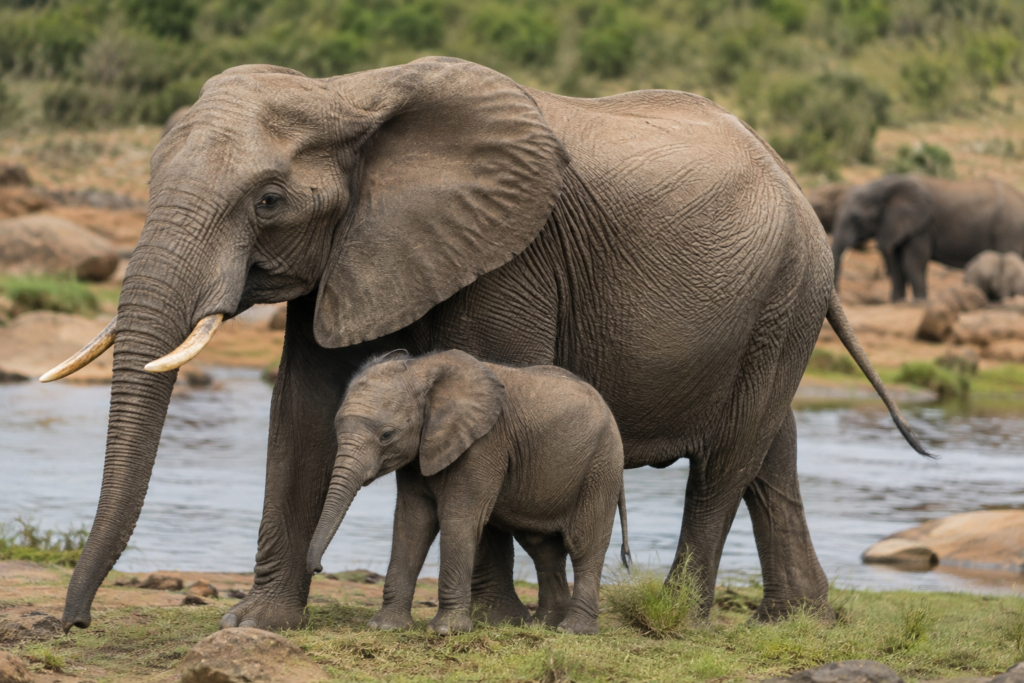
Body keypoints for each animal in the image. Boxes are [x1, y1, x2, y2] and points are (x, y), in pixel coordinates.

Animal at [306, 349, 631, 636]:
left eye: (387, 435)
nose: (318, 567)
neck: (423, 368)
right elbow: (412, 522)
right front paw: (386, 627)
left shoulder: (483, 444)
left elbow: (459, 519)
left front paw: (446, 631)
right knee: (542, 546)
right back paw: (543, 626)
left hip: (601, 466)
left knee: (584, 543)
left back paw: (574, 630)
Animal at [832, 175, 1024, 301]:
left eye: (856, 218)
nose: (839, 295)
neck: (886, 185)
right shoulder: (895, 226)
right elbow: (895, 262)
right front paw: (897, 302)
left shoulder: (922, 227)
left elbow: (912, 262)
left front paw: (920, 302)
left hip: (1010, 229)